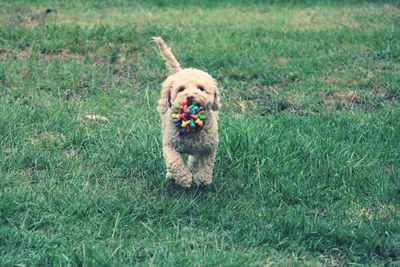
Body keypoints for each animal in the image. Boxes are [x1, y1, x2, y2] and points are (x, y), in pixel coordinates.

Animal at [154, 37, 222, 188]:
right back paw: (171, 176)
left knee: (194, 159)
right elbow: (175, 162)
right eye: (181, 89)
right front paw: (184, 179)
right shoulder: (169, 145)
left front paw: (202, 179)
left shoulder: (209, 147)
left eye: (201, 88)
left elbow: (206, 165)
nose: (190, 96)